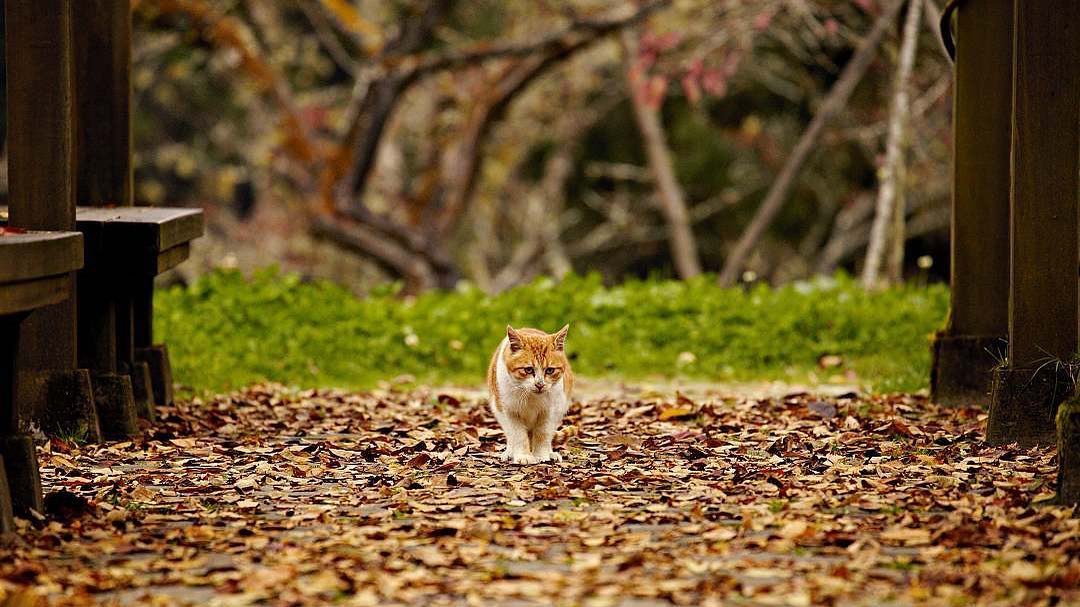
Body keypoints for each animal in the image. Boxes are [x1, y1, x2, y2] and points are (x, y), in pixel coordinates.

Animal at [488, 326, 574, 462]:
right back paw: (510, 452)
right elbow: (518, 435)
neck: (531, 397)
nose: (540, 384)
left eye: (550, 370)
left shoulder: (549, 412)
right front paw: (524, 456)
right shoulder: (510, 411)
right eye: (528, 369)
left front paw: (541, 455)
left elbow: (543, 434)